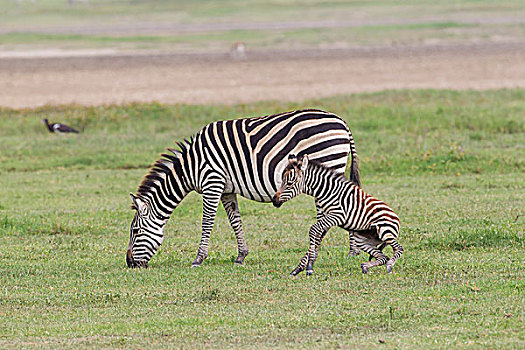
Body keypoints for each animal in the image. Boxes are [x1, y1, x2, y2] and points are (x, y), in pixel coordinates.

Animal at [126, 109, 360, 268]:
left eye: (135, 231)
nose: (129, 263)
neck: (191, 166)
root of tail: (341, 121)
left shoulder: (212, 182)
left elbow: (207, 222)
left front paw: (199, 258)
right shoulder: (227, 189)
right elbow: (235, 221)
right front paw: (241, 256)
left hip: (328, 163)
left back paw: (316, 252)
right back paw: (352, 251)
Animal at [270, 154, 402, 274]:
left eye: (290, 183)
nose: (274, 200)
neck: (328, 192)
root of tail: (397, 218)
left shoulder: (338, 215)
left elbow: (313, 230)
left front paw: (309, 266)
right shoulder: (325, 215)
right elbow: (317, 234)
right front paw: (303, 266)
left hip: (385, 232)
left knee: (398, 249)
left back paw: (389, 265)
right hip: (361, 239)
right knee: (383, 257)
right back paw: (366, 266)